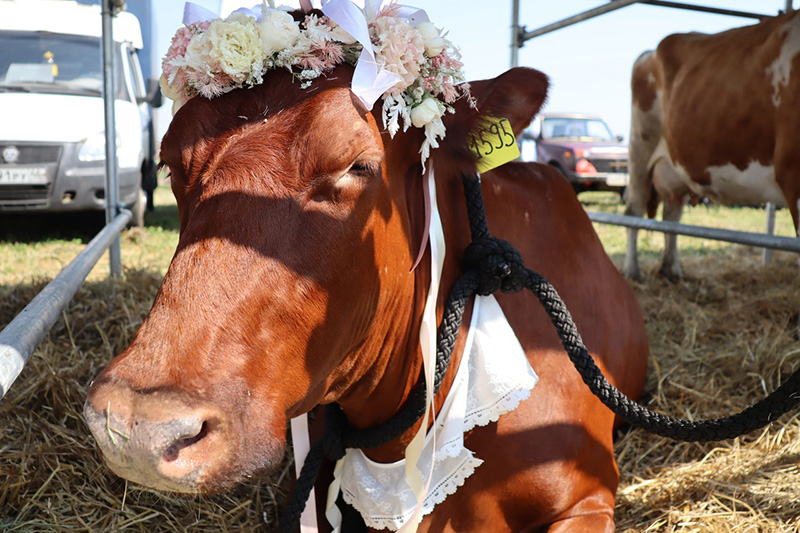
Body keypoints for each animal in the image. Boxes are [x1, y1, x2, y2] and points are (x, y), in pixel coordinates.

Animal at [624, 10, 800, 280]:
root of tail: (649, 53)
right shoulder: (792, 174)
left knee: (671, 214)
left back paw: (671, 270)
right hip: (640, 151)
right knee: (634, 212)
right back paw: (632, 271)